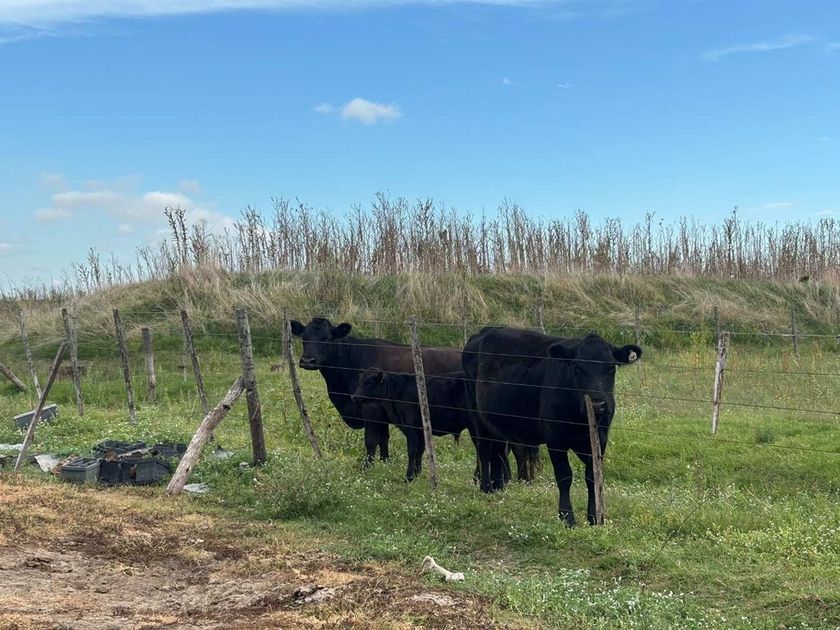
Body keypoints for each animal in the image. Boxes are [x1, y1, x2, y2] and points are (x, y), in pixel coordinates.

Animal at [289, 317, 461, 464]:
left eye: (327, 338)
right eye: (304, 337)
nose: (307, 361)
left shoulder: (370, 408)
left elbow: (371, 440)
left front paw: (368, 466)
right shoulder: (381, 414)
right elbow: (383, 439)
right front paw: (385, 462)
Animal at [463, 327, 641, 526]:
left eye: (610, 368)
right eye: (577, 368)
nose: (597, 404)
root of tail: (484, 331)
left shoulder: (600, 439)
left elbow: (592, 476)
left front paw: (594, 517)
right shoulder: (555, 439)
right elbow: (564, 476)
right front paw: (567, 517)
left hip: (498, 421)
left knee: (499, 451)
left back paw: (499, 487)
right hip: (476, 414)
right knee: (484, 449)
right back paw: (486, 488)